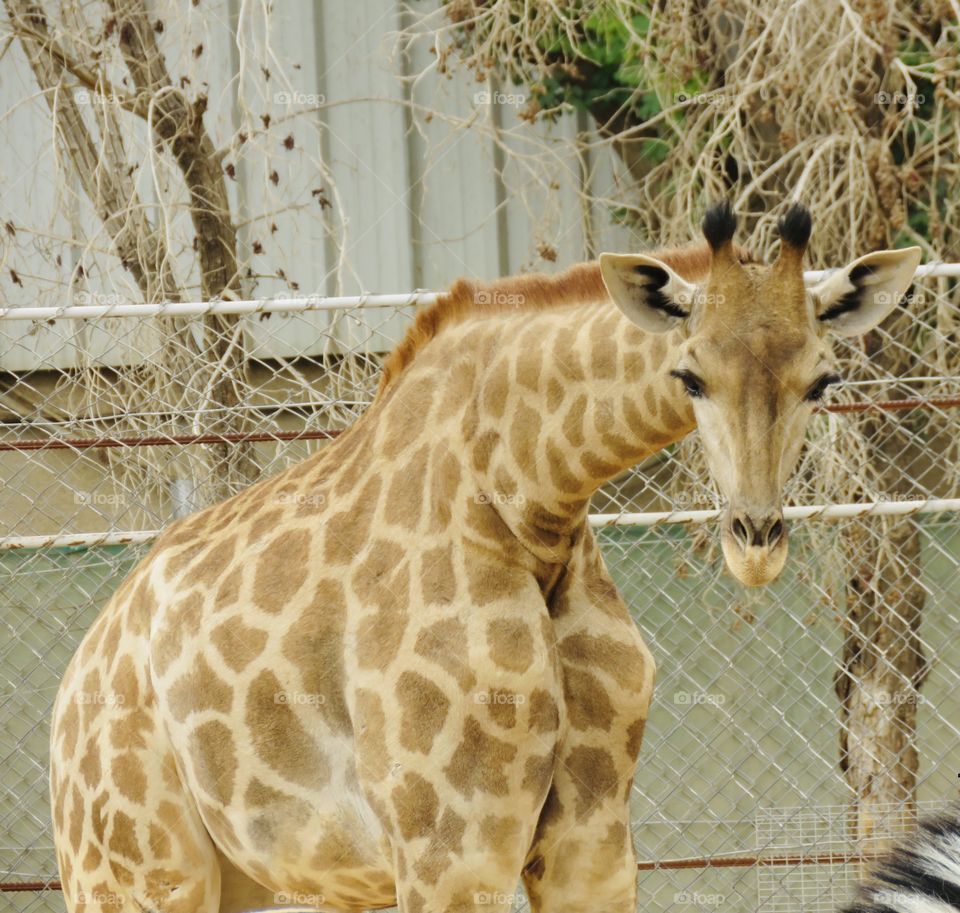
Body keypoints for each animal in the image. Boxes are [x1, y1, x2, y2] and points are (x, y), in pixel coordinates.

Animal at [49, 201, 921, 913]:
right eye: (691, 375)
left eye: (822, 379)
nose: (756, 540)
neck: (529, 505)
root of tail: (72, 686)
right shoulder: (451, 849)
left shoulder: (592, 840)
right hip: (136, 871)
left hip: (246, 877)